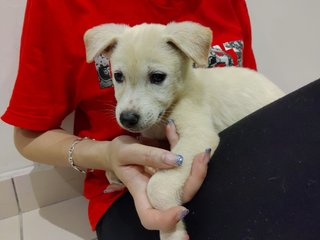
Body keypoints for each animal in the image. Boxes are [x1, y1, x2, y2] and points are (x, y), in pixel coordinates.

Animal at [84, 21, 284, 239]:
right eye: (118, 76)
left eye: (157, 77)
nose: (127, 119)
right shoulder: (153, 136)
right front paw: (112, 172)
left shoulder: (197, 135)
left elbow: (157, 186)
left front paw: (172, 230)